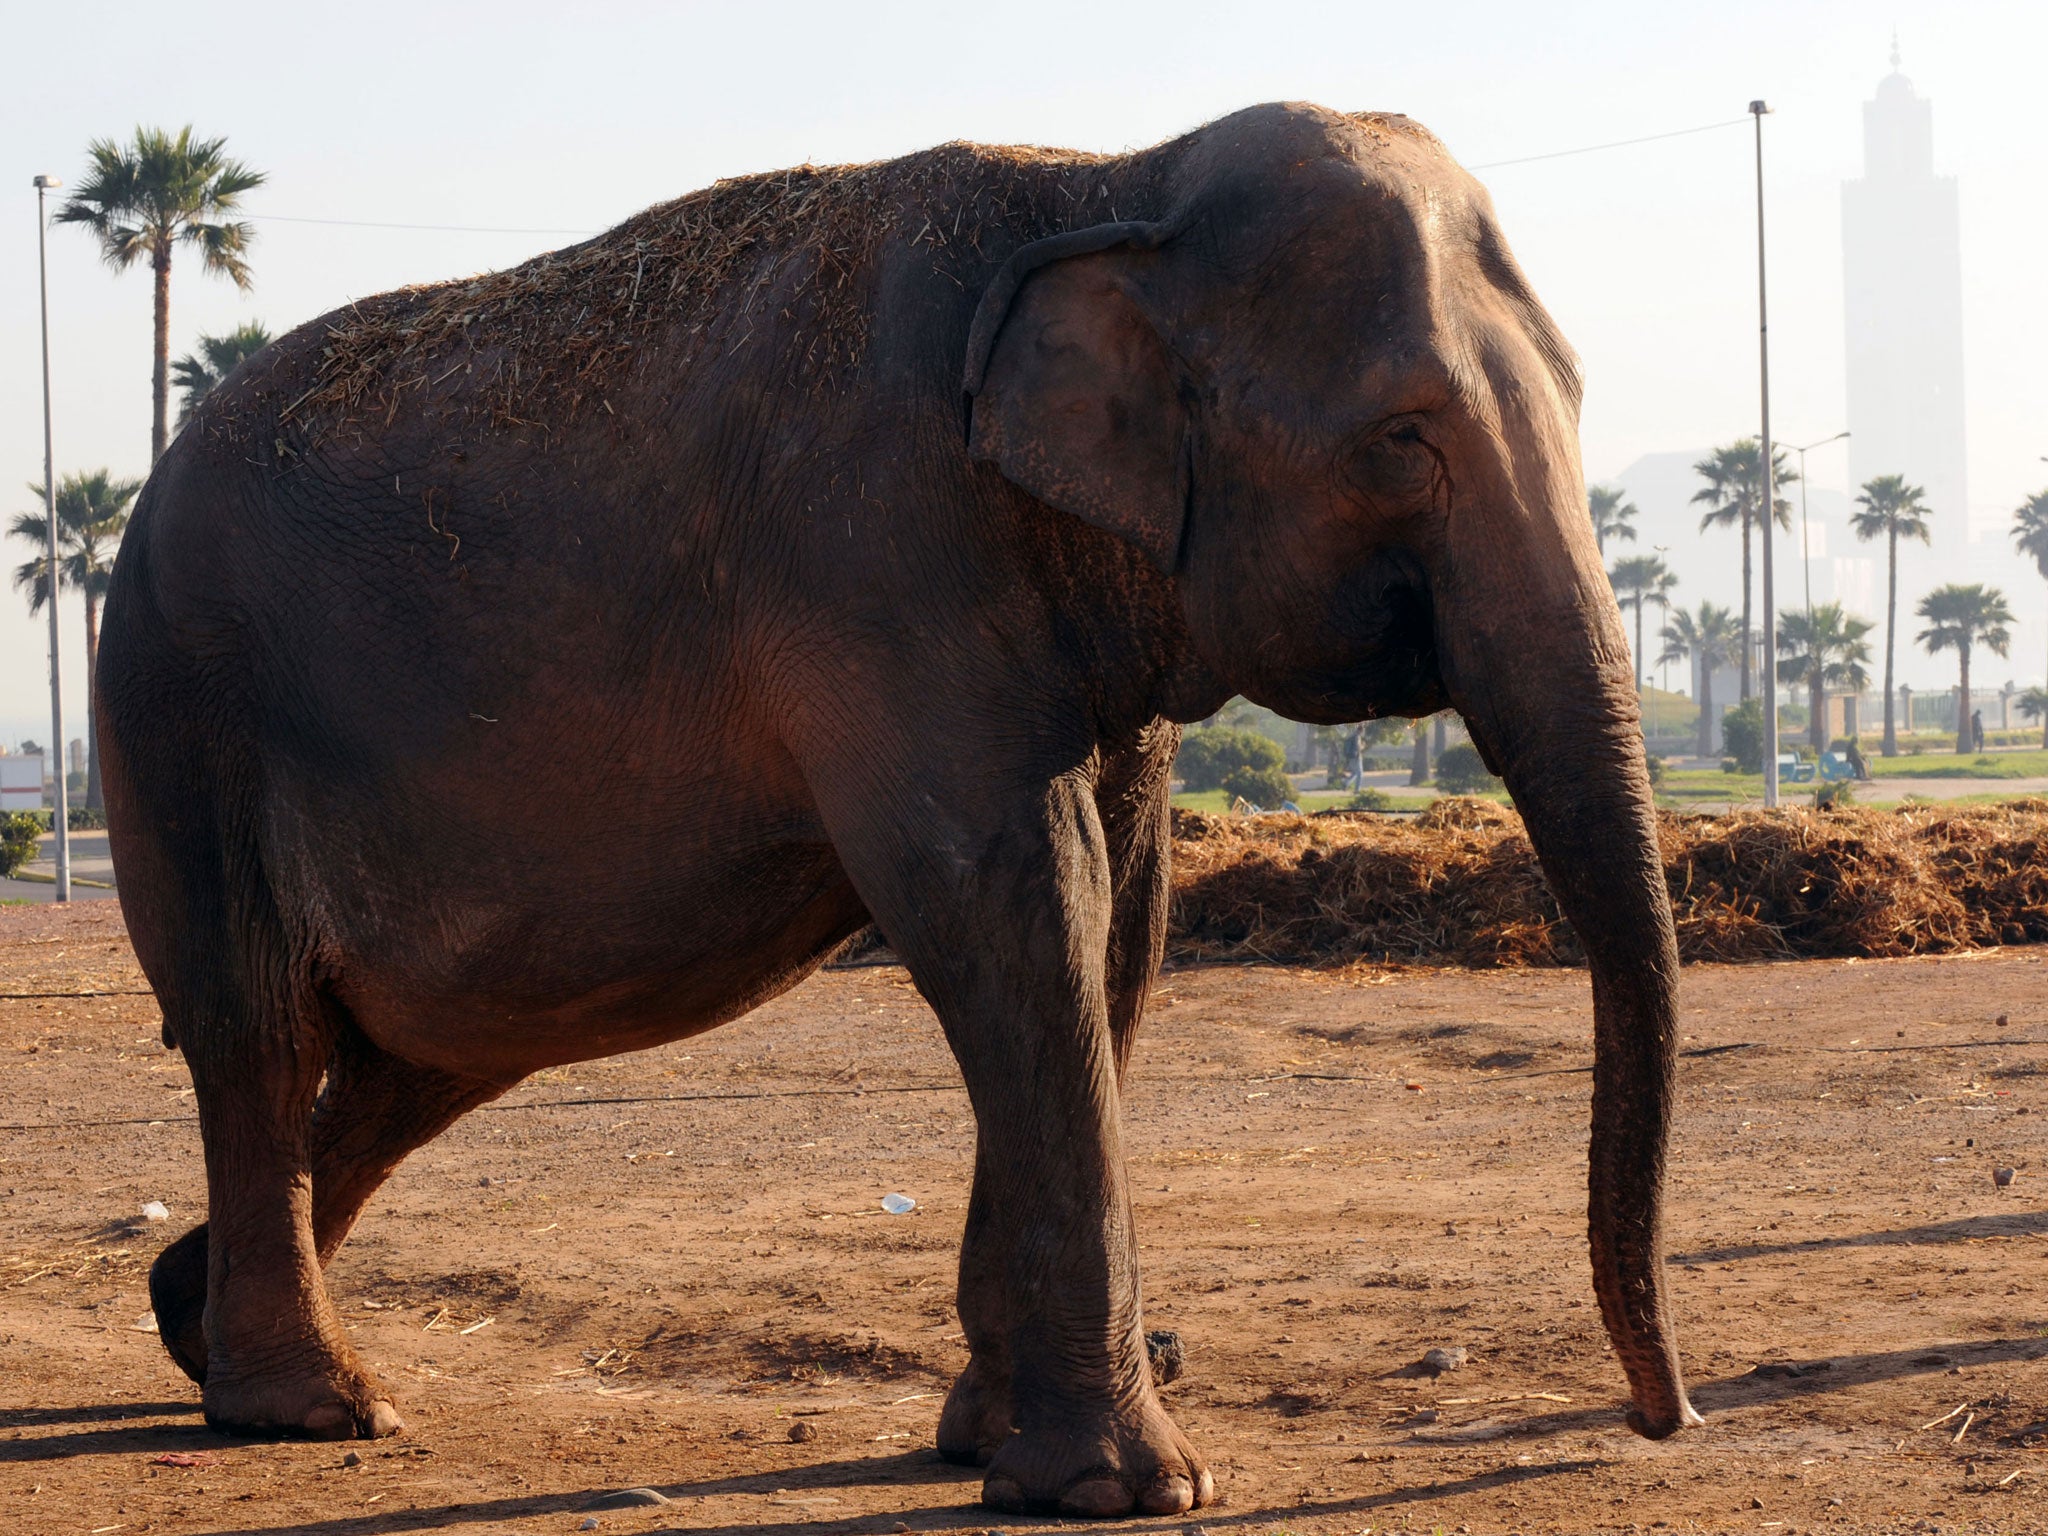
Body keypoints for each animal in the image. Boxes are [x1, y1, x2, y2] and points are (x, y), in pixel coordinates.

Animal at [96, 102, 1695, 1523]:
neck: (1111, 181)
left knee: (423, 1053)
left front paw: (983, 1439)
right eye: (1402, 439)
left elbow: (1119, 921)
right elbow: (1013, 897)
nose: (1656, 1415)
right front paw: (1122, 1491)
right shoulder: (878, 554)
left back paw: (191, 1321)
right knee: (262, 1023)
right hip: (179, 711)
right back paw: (314, 1407)